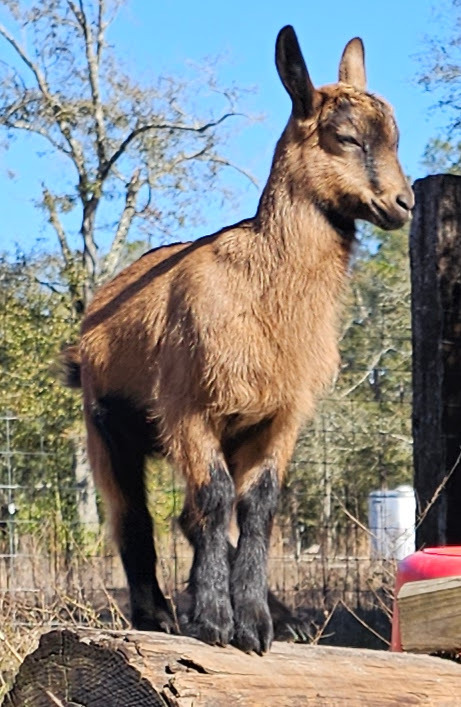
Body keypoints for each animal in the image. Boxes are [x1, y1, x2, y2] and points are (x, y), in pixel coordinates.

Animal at [61, 26, 413, 654]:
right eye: (346, 137)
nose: (404, 204)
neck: (261, 285)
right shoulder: (188, 408)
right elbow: (217, 498)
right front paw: (214, 621)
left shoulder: (278, 417)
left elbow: (257, 506)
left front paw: (255, 622)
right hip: (107, 426)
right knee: (134, 516)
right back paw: (157, 616)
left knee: (186, 517)